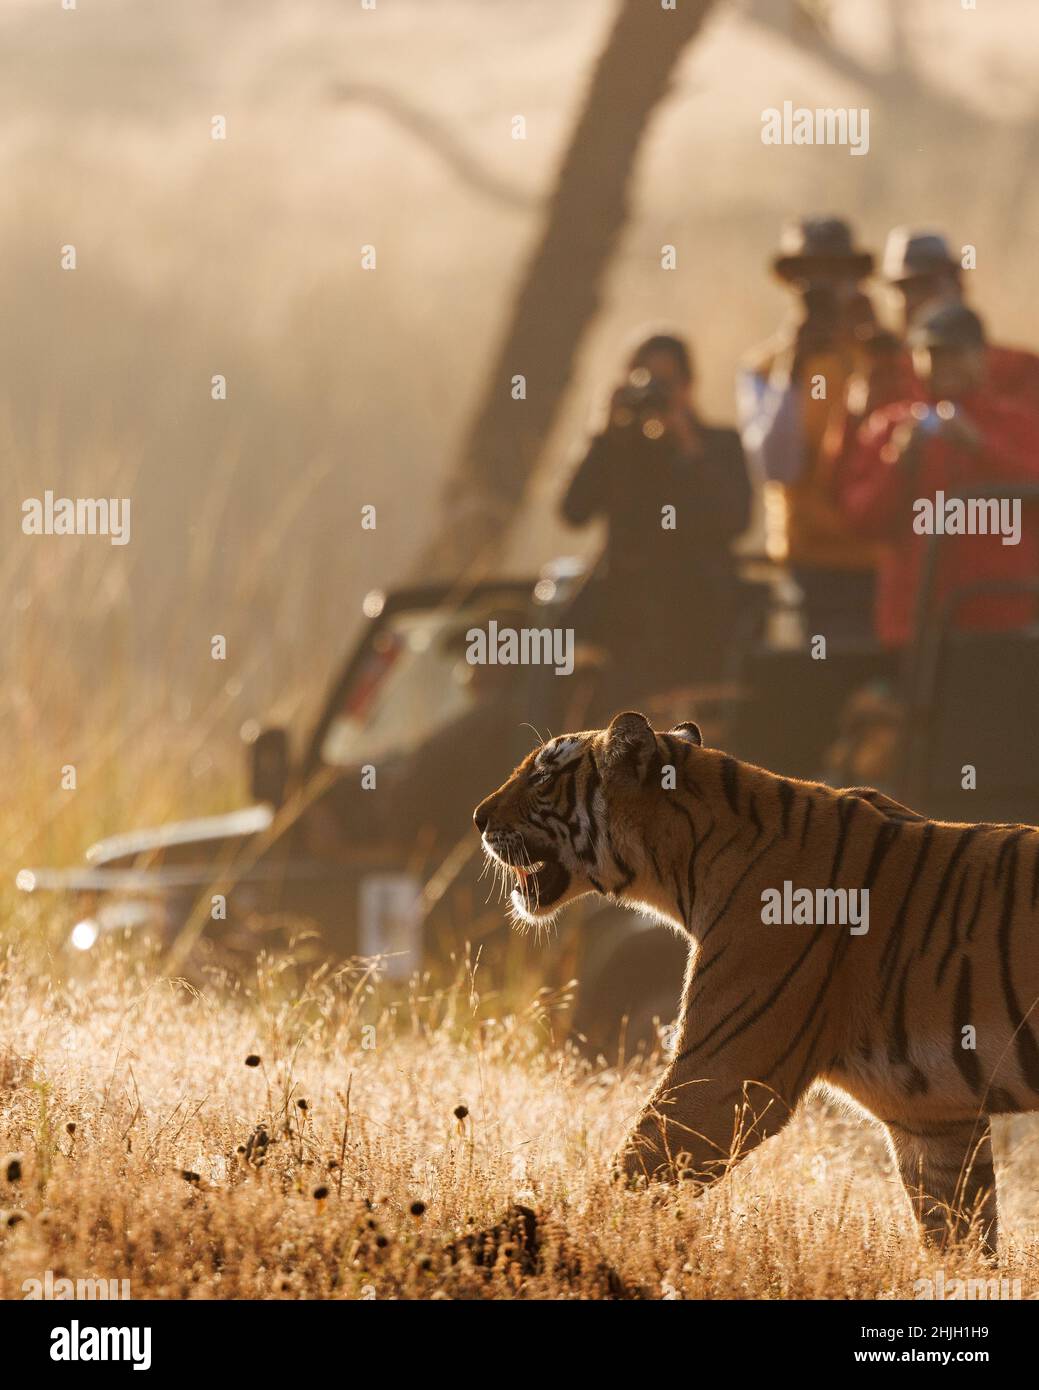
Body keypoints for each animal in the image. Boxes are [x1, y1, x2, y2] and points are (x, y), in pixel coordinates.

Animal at [472, 711, 1039, 1256]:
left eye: (542, 778)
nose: (478, 818)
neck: (684, 866)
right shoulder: (931, 1117)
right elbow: (961, 1241)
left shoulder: (725, 1073)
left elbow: (625, 1180)